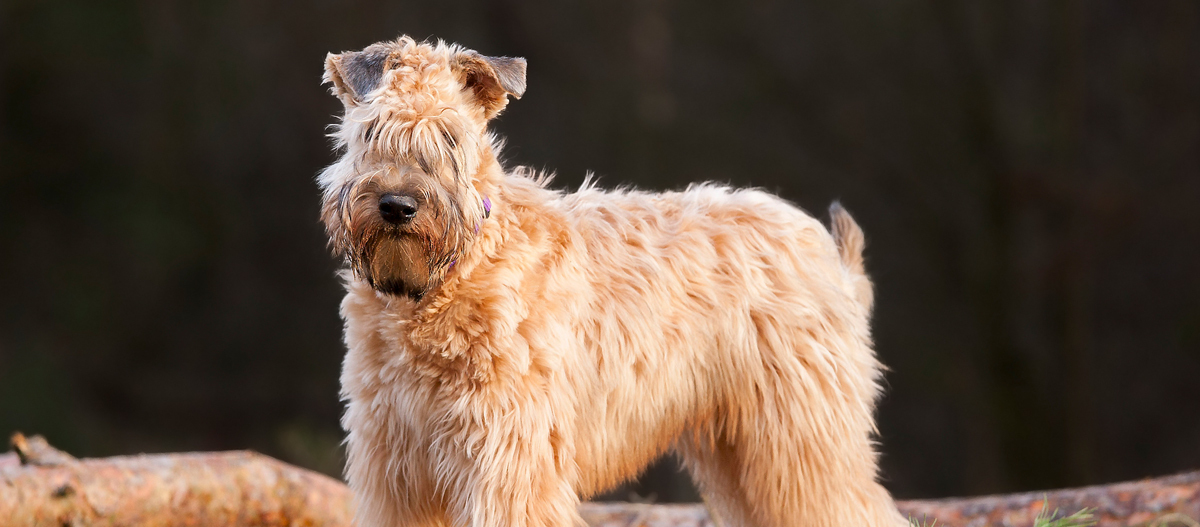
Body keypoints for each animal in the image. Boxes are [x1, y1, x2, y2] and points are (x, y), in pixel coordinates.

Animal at [316, 37, 902, 527]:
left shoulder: (506, 460)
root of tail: (826, 249)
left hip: (801, 440)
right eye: (370, 131)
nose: (397, 205)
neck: (438, 289)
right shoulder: (396, 469)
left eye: (449, 137)